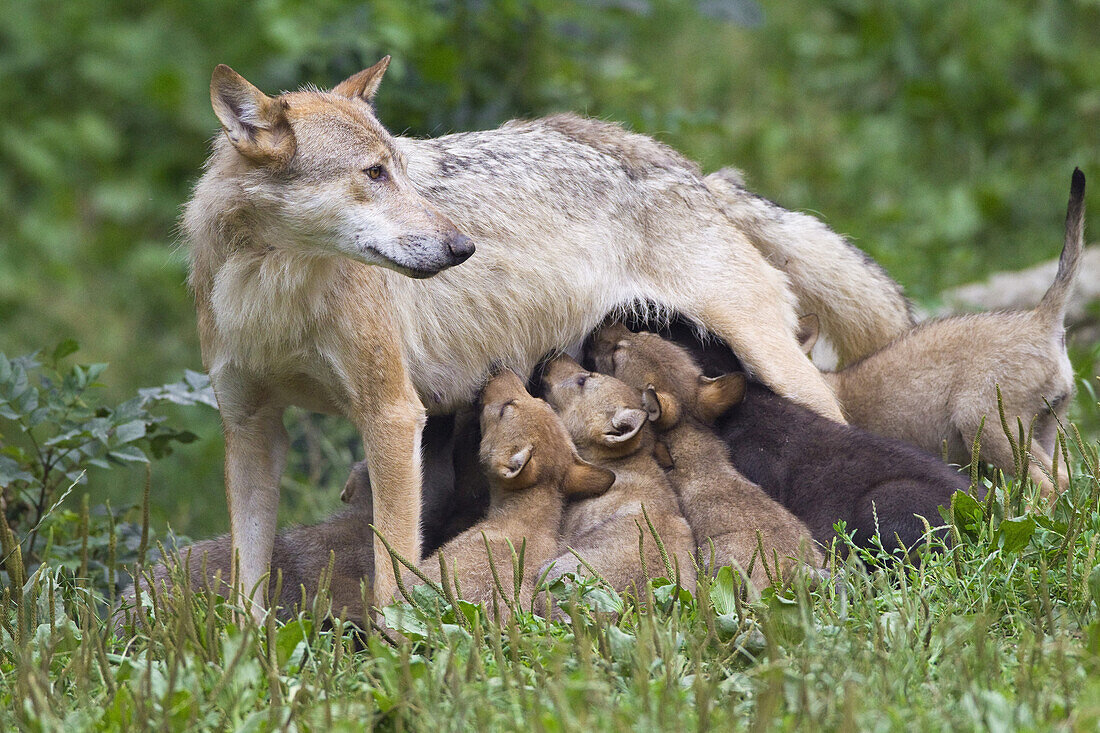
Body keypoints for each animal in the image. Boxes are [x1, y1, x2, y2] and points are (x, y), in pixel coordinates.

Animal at [184, 58, 910, 616]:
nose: (462, 248)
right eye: (373, 175)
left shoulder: (391, 415)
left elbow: (392, 565)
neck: (270, 290)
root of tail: (685, 168)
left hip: (777, 365)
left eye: (399, 170)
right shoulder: (250, 426)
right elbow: (248, 582)